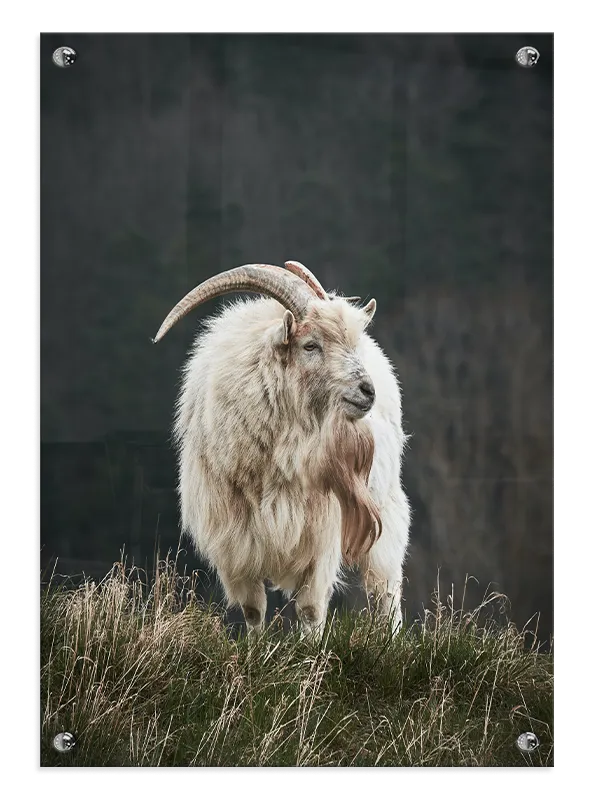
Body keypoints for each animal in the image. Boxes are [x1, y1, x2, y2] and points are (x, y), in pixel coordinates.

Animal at [153, 261, 410, 638]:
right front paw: (256, 649)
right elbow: (253, 610)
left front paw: (311, 653)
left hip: (386, 508)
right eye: (310, 345)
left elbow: (311, 610)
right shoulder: (235, 541)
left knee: (386, 590)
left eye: (350, 343)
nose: (367, 391)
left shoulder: (320, 534)